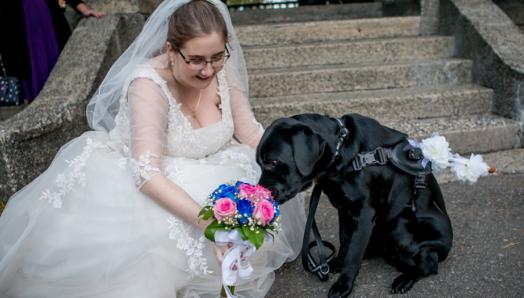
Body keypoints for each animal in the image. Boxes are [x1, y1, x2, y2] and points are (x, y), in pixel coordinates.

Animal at [256, 113, 452, 296]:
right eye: (259, 163)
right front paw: (337, 263)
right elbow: (345, 242)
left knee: (429, 264)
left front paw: (343, 284)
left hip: (400, 226)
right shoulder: (344, 210)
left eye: (273, 162)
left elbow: (354, 253)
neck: (341, 153)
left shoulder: (364, 215)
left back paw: (405, 279)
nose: (260, 195)